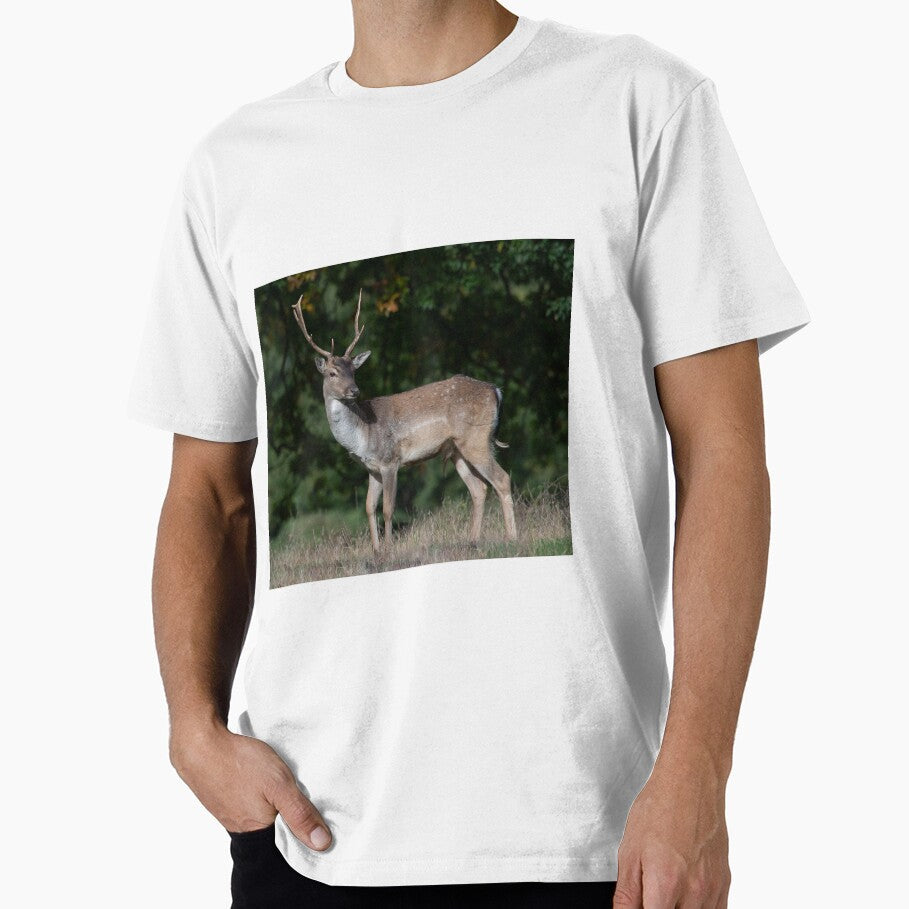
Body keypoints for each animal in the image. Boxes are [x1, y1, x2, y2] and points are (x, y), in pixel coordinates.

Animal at [292, 290, 517, 552]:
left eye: (354, 371)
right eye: (332, 373)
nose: (354, 391)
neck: (362, 434)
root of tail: (495, 391)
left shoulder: (390, 460)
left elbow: (388, 509)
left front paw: (389, 549)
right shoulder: (372, 468)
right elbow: (369, 507)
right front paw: (376, 550)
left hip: (477, 439)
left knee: (502, 479)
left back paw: (511, 538)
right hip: (457, 450)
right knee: (479, 489)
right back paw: (472, 541)